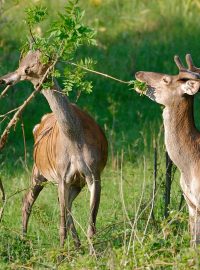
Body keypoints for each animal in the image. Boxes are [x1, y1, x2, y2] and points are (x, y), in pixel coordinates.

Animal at [0, 50, 108, 249]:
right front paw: (61, 253)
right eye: (22, 65)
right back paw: (24, 239)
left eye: (30, 66)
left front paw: (93, 253)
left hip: (74, 182)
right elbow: (61, 226)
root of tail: (40, 122)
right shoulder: (62, 176)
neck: (75, 142)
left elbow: (91, 226)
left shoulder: (93, 173)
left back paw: (77, 245)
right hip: (38, 170)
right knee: (27, 200)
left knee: (68, 206)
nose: (5, 79)